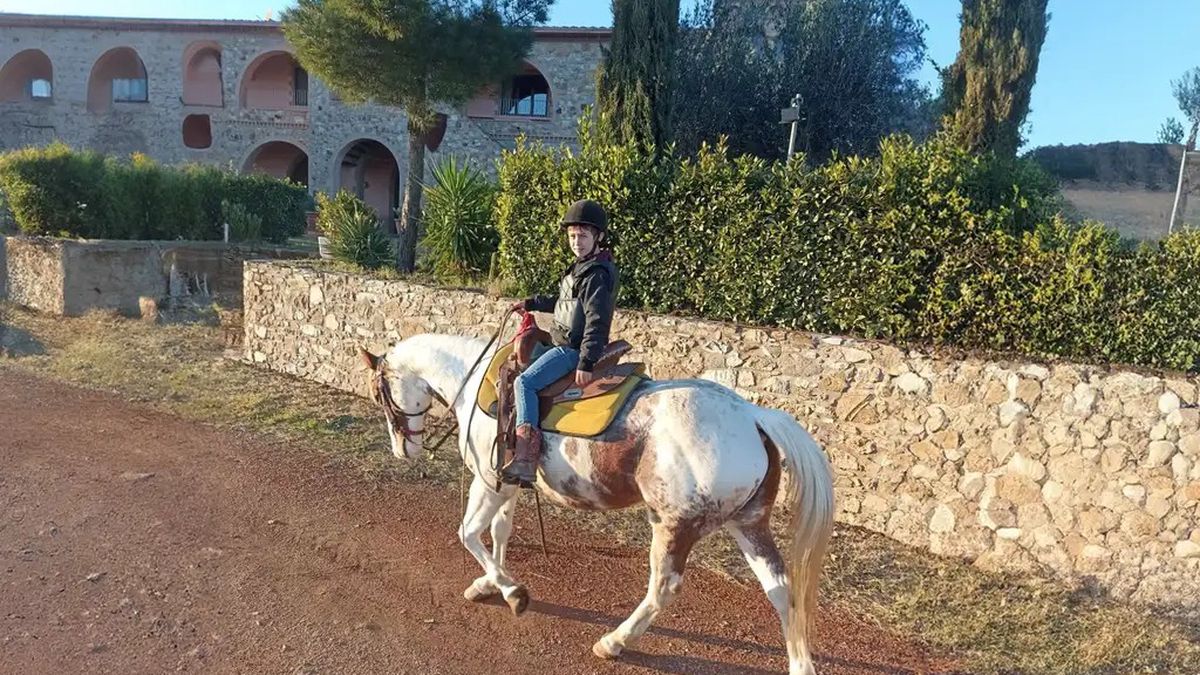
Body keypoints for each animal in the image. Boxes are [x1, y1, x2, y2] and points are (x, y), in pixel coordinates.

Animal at [356, 331, 836, 675]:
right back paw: (800, 664)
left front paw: (513, 592)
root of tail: (754, 416)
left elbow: (469, 533)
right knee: (782, 590)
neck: (477, 385)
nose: (403, 450)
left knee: (664, 587)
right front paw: (491, 583)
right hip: (749, 525)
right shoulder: (508, 485)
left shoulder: (489, 482)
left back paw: (615, 641)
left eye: (381, 393)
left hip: (674, 526)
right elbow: (499, 531)